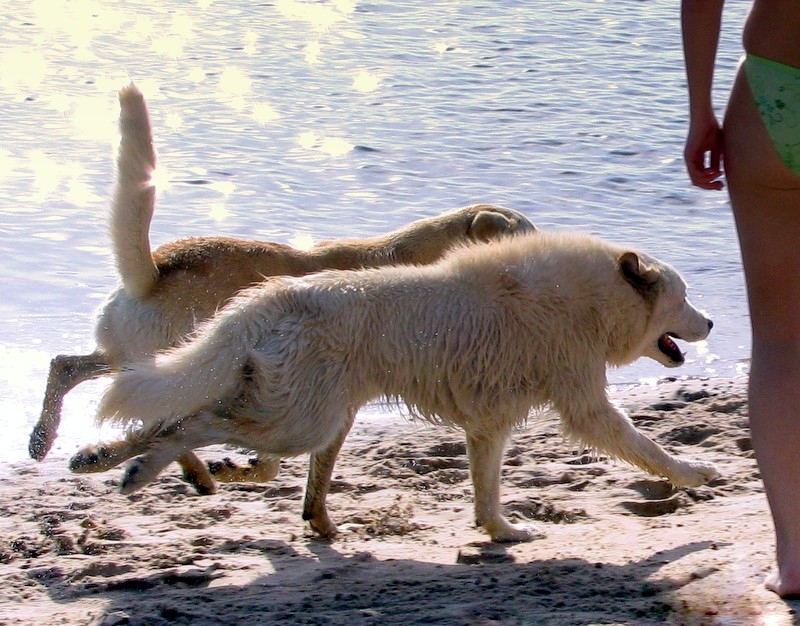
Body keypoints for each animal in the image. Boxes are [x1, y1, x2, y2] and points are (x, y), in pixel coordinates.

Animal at [28, 83, 536, 492]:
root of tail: (153, 269)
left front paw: (245, 469)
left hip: (132, 357)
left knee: (68, 367)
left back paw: (49, 439)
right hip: (180, 368)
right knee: (156, 416)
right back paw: (185, 470)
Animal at [81, 229, 720, 540]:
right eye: (684, 299)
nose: (713, 323)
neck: (595, 300)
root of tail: (268, 299)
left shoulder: (489, 426)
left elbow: (486, 489)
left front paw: (501, 533)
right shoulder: (585, 407)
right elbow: (649, 449)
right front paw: (696, 473)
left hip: (308, 414)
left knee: (205, 428)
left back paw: (110, 461)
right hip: (299, 419)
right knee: (192, 422)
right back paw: (133, 467)